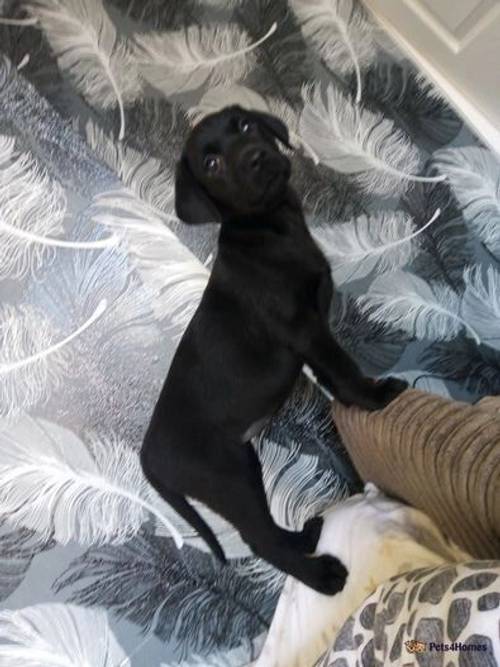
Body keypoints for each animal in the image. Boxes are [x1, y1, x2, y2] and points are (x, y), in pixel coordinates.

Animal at [140, 107, 406, 596]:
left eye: (245, 126)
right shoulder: (306, 327)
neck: (269, 225)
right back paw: (322, 576)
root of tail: (148, 455)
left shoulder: (312, 331)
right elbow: (343, 366)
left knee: (267, 531)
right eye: (211, 165)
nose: (257, 158)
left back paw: (306, 536)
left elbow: (333, 376)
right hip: (230, 479)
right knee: (259, 541)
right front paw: (375, 397)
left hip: (245, 467)